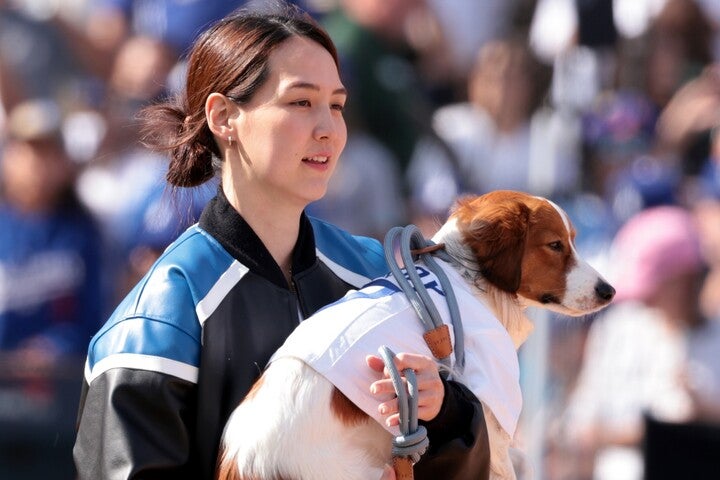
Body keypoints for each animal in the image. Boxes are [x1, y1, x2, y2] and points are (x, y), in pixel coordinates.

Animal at [214, 191, 612, 480]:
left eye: (571, 241)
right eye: (555, 245)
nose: (609, 291)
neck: (465, 275)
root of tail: (244, 463)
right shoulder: (493, 414)